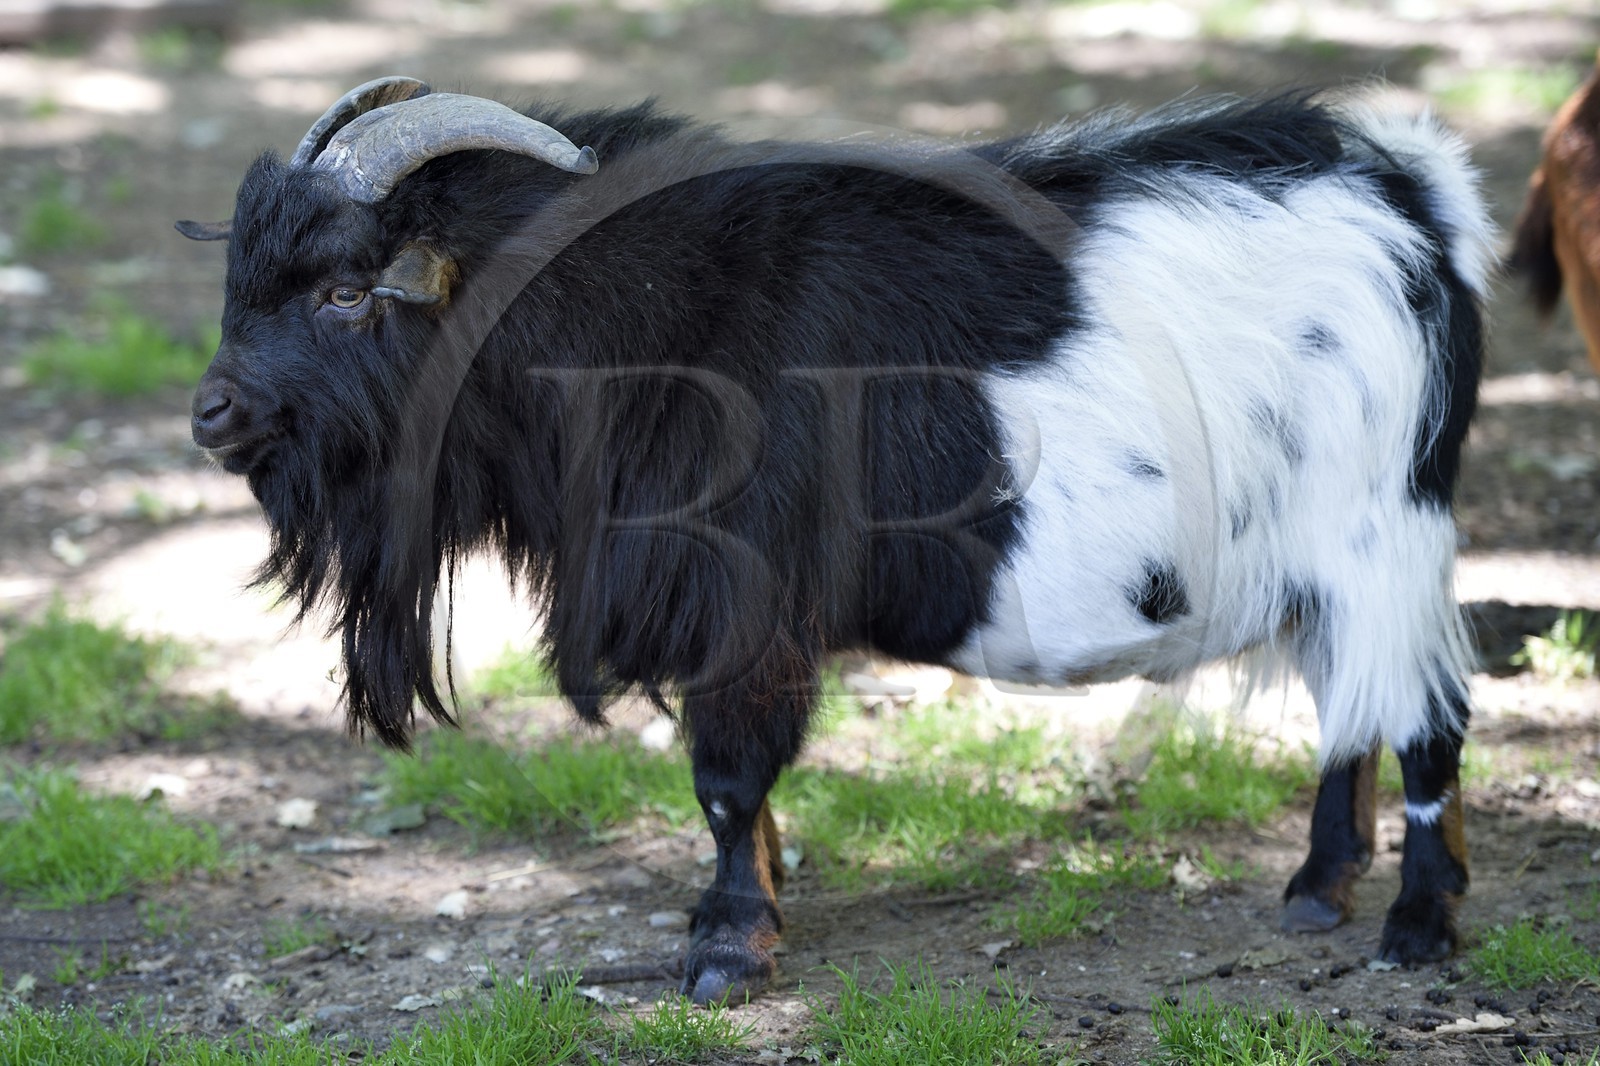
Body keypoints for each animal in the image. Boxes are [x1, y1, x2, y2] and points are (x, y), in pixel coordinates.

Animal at [179, 77, 1493, 1003]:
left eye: (348, 290)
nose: (212, 413)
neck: (621, 324)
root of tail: (1412, 195)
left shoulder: (744, 599)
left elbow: (725, 779)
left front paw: (725, 953)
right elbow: (740, 796)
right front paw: (747, 916)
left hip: (1381, 527)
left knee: (1425, 717)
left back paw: (1416, 926)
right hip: (1319, 560)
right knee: (1351, 703)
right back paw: (1316, 888)